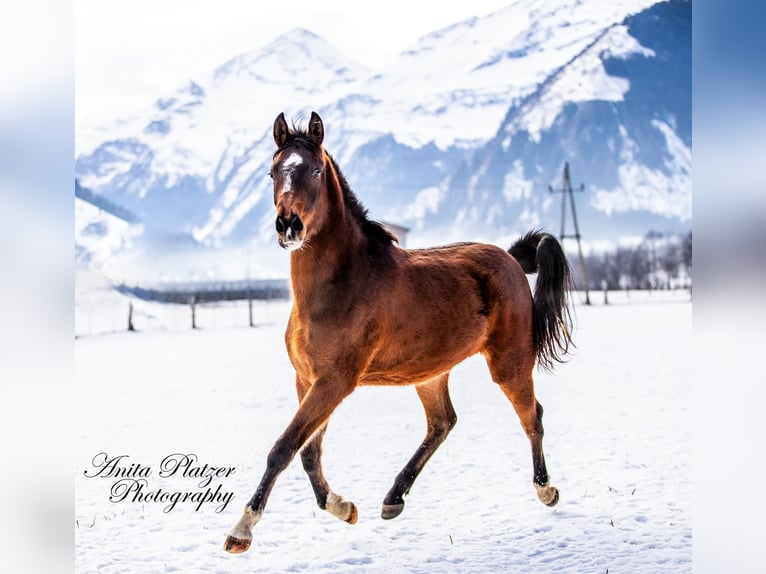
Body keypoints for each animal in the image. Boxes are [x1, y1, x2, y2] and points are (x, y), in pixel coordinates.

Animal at [225, 110, 572, 556]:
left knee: (532, 417)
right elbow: (308, 452)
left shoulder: (334, 382)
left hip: (509, 364)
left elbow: (284, 448)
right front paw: (343, 507)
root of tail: (512, 259)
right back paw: (393, 499)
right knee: (442, 423)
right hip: (430, 373)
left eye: (316, 170)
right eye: (272, 172)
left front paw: (242, 530)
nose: (289, 226)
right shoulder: (307, 379)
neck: (342, 283)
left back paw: (547, 491)